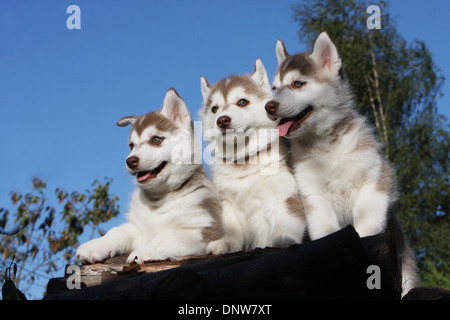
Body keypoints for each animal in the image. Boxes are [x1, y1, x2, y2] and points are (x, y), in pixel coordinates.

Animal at [79, 87, 225, 262]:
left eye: (156, 139)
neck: (160, 199)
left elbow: (168, 236)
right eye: (131, 145)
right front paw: (96, 245)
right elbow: (117, 231)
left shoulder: (206, 228)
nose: (130, 161)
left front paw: (141, 253)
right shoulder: (137, 228)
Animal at [200, 58, 306, 254]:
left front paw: (281, 239)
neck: (244, 160)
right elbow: (232, 228)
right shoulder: (228, 203)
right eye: (214, 109)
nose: (222, 121)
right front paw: (226, 242)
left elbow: (286, 223)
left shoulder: (285, 197)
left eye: (242, 102)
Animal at [268, 32, 418, 296]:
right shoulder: (313, 195)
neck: (326, 147)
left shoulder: (377, 177)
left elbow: (367, 220)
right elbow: (326, 230)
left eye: (298, 84)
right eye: (274, 88)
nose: (269, 106)